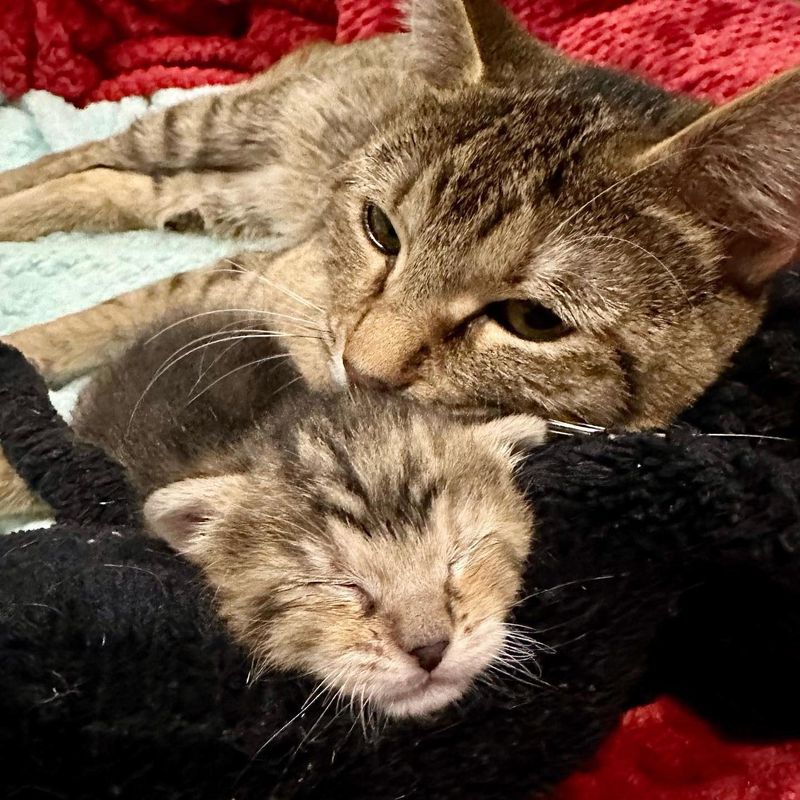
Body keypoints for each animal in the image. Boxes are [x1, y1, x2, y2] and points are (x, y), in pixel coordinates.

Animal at [1, 1, 800, 432]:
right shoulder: (261, 278)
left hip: (232, 193)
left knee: (129, 187)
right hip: (214, 122)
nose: (361, 369)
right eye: (381, 229)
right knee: (95, 153)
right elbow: (106, 316)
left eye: (533, 320)